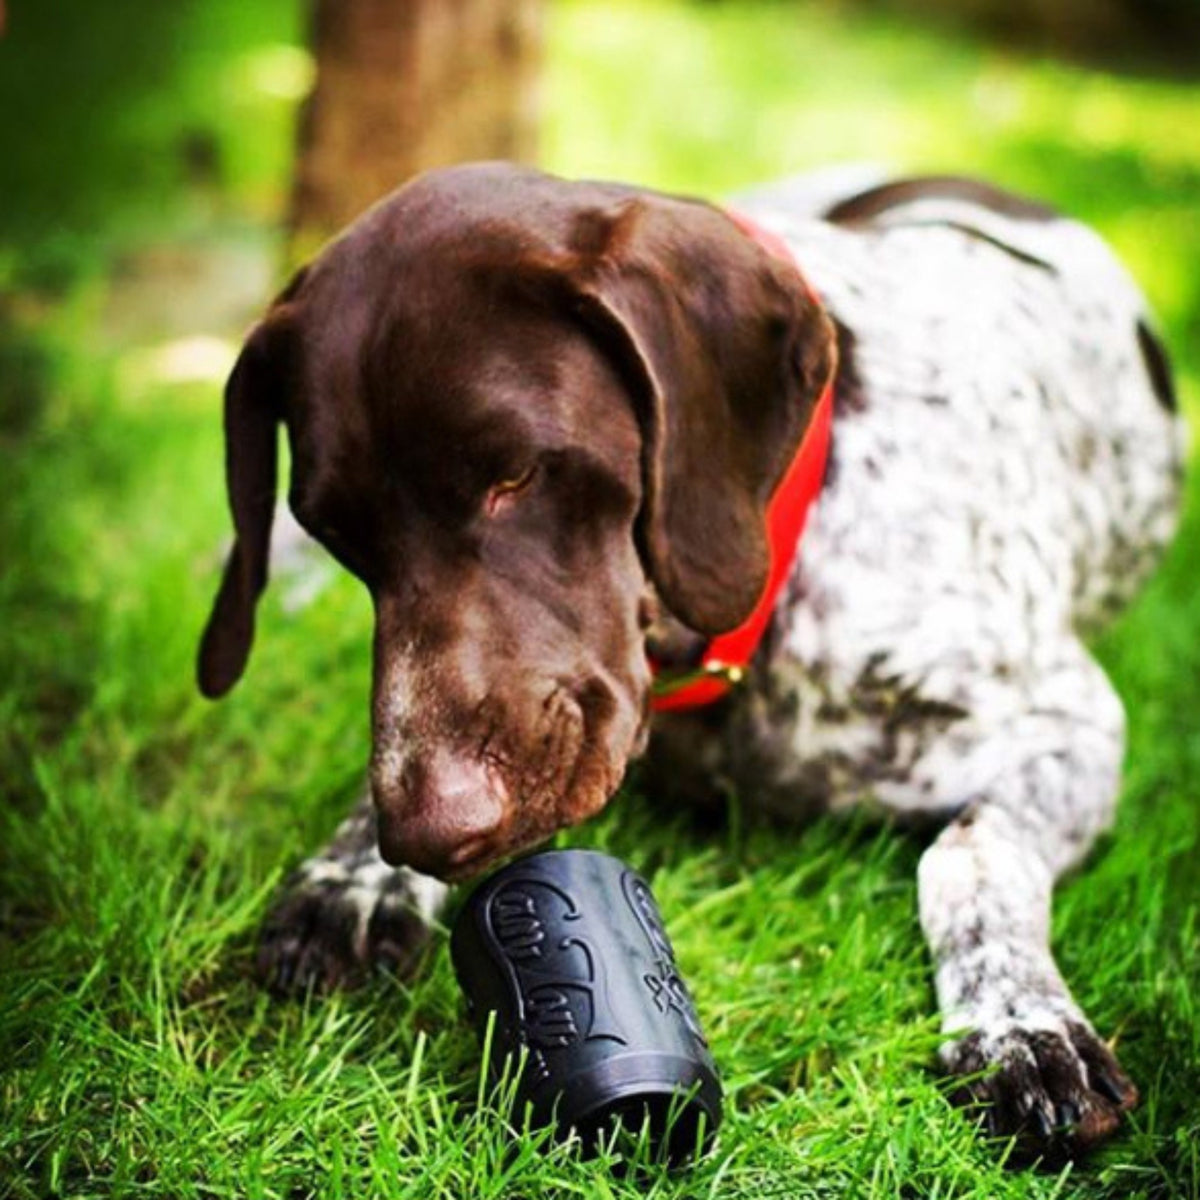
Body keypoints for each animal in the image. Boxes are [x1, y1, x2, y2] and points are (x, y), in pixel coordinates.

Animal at [196, 164, 1180, 1156]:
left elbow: (970, 855)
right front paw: (356, 873)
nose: (428, 834)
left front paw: (1019, 1020)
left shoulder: (1074, 723)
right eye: (337, 528)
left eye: (515, 474)